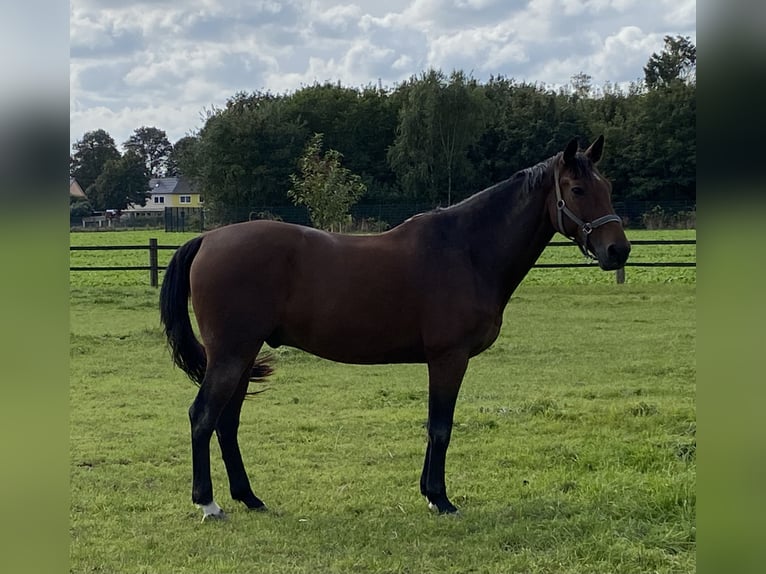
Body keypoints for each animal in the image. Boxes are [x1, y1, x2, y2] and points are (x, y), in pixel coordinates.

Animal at [160, 136, 632, 520]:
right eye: (577, 190)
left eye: (608, 188)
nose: (618, 250)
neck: (467, 250)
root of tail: (207, 239)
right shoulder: (448, 358)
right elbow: (441, 426)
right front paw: (440, 499)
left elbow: (434, 425)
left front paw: (428, 492)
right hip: (231, 353)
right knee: (203, 416)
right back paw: (208, 503)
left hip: (241, 356)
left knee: (227, 423)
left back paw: (249, 497)